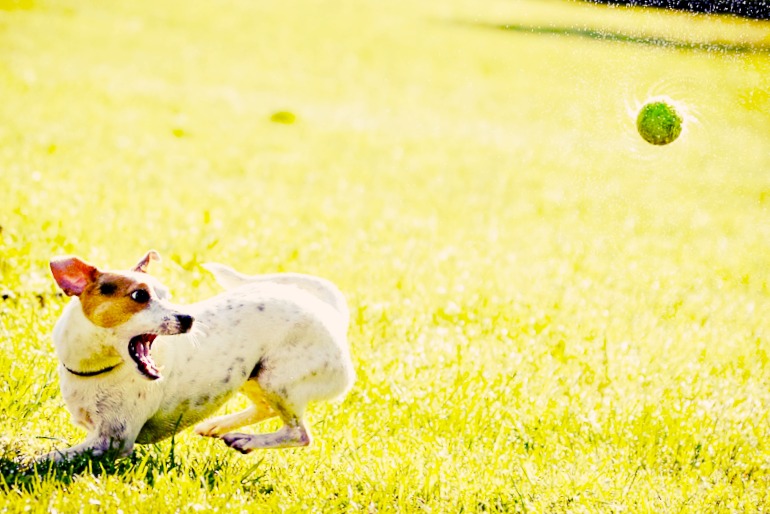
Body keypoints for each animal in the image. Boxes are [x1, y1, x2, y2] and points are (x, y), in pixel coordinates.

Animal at [38, 251, 354, 460]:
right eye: (140, 296)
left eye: (166, 295)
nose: (188, 318)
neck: (98, 368)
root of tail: (331, 313)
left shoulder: (113, 440)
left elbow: (49, 458)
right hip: (250, 375)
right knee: (266, 409)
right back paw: (220, 426)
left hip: (277, 379)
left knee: (298, 433)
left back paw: (245, 438)